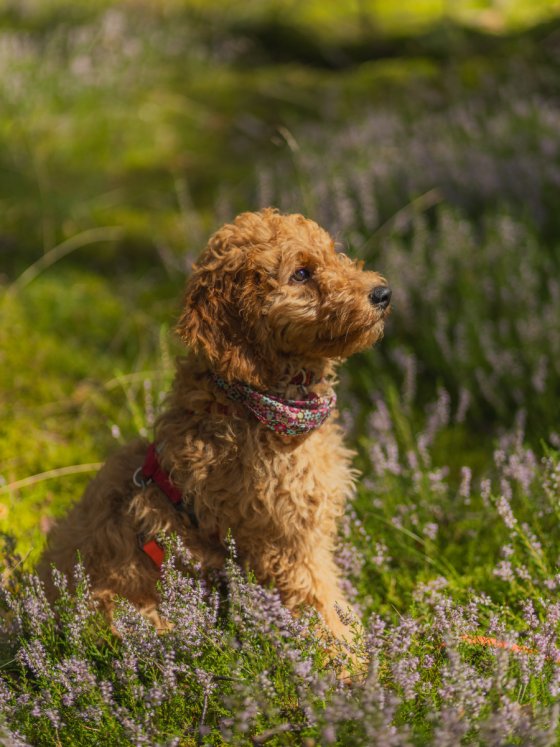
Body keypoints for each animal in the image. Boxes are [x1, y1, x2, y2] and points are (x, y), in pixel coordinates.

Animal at [38, 209, 390, 644]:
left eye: (332, 253)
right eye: (301, 273)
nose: (383, 293)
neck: (253, 400)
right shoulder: (288, 544)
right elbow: (320, 605)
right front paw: (350, 656)